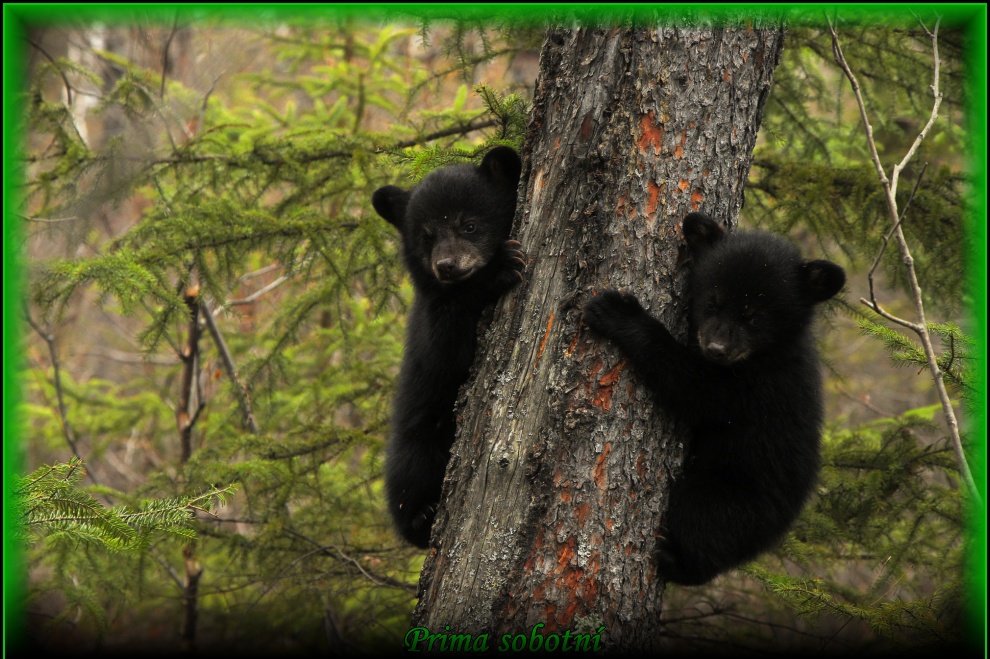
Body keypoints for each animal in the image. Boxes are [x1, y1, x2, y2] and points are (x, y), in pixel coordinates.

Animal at [371, 146, 524, 548]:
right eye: (426, 236)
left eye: (468, 225)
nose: (446, 266)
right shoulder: (431, 316)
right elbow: (447, 351)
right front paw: (499, 268)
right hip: (418, 435)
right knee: (408, 474)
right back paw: (421, 518)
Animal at [582, 211, 845, 585]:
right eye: (712, 302)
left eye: (754, 317)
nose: (717, 348)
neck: (765, 353)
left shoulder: (756, 388)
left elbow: (694, 389)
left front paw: (618, 312)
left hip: (730, 494)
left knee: (702, 526)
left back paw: (675, 562)